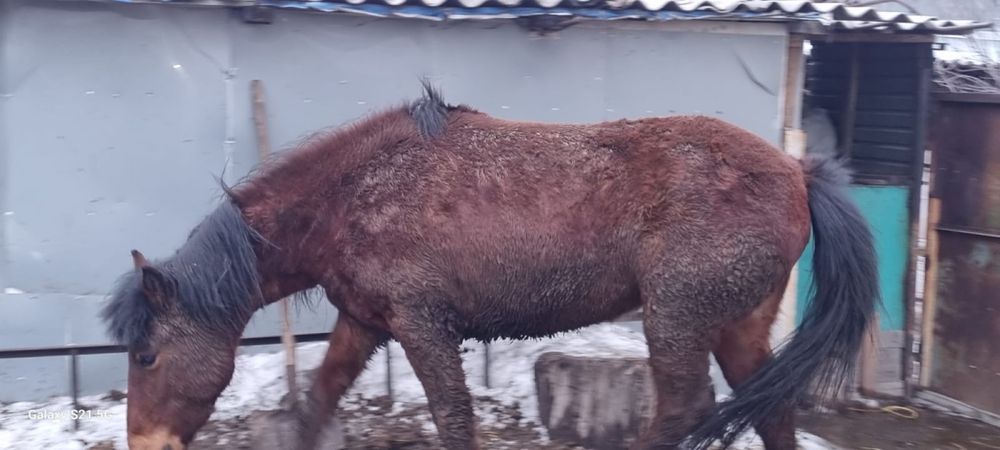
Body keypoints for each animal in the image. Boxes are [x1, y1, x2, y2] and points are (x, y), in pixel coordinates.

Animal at [101, 81, 876, 450]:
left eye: (145, 355)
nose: (143, 443)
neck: (352, 193)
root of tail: (797, 171)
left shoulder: (423, 326)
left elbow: (453, 418)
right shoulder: (364, 323)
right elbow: (317, 401)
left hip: (677, 318)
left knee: (687, 407)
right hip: (736, 326)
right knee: (770, 413)